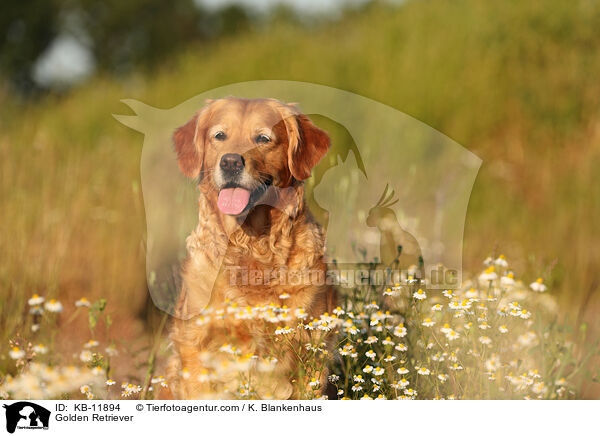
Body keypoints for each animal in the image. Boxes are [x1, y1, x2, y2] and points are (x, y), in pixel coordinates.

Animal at [165, 98, 338, 398]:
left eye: (263, 138)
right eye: (219, 135)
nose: (231, 162)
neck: (253, 246)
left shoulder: (312, 344)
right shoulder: (195, 346)